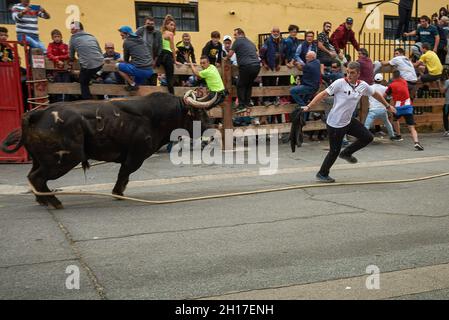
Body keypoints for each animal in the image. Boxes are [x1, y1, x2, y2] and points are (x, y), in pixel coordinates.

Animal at [0, 92, 210, 209]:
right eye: (200, 113)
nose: (211, 132)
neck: (156, 116)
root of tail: (37, 114)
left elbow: (124, 175)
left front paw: (119, 193)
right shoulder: (135, 155)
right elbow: (124, 174)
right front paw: (117, 193)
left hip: (41, 160)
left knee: (33, 177)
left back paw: (43, 200)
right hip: (62, 160)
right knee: (37, 178)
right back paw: (54, 202)